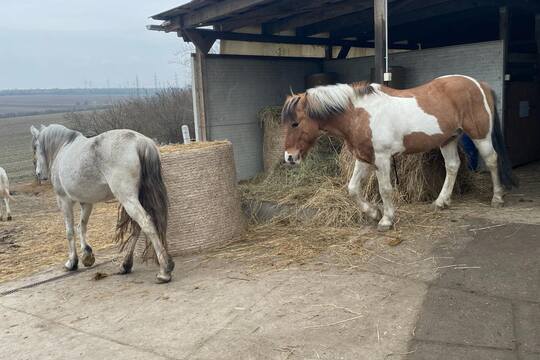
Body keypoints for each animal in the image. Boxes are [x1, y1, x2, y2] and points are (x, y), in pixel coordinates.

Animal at [30, 125, 174, 282]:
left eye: (35, 146)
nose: (38, 173)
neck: (63, 148)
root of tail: (141, 142)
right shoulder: (86, 202)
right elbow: (82, 226)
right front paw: (87, 255)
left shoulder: (64, 200)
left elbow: (69, 231)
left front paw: (72, 262)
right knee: (137, 227)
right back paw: (126, 265)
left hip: (127, 198)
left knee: (145, 223)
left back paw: (164, 270)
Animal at [280, 74, 516, 231]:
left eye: (295, 123)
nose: (289, 158)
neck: (359, 114)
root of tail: (479, 84)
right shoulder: (363, 157)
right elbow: (353, 188)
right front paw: (373, 212)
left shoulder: (382, 158)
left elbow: (385, 189)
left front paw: (386, 219)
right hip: (449, 139)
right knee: (452, 166)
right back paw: (441, 202)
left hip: (480, 135)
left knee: (492, 160)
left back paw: (497, 197)